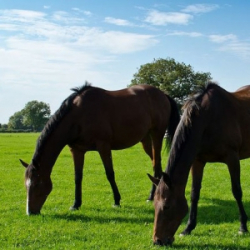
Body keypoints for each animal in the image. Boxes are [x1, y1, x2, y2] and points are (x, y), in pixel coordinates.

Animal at [19, 82, 180, 215]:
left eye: (37, 184)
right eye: (26, 185)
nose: (30, 212)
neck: (79, 115)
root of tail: (162, 94)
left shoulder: (104, 147)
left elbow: (110, 174)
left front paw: (117, 201)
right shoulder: (76, 150)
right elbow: (78, 177)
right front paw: (76, 204)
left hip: (157, 135)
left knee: (156, 164)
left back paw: (151, 196)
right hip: (146, 140)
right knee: (155, 164)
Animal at [148, 82, 250, 246]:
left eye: (166, 206)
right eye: (154, 205)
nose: (158, 240)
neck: (208, 119)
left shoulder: (232, 158)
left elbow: (237, 191)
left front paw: (243, 226)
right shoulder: (197, 161)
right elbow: (194, 194)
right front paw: (188, 228)